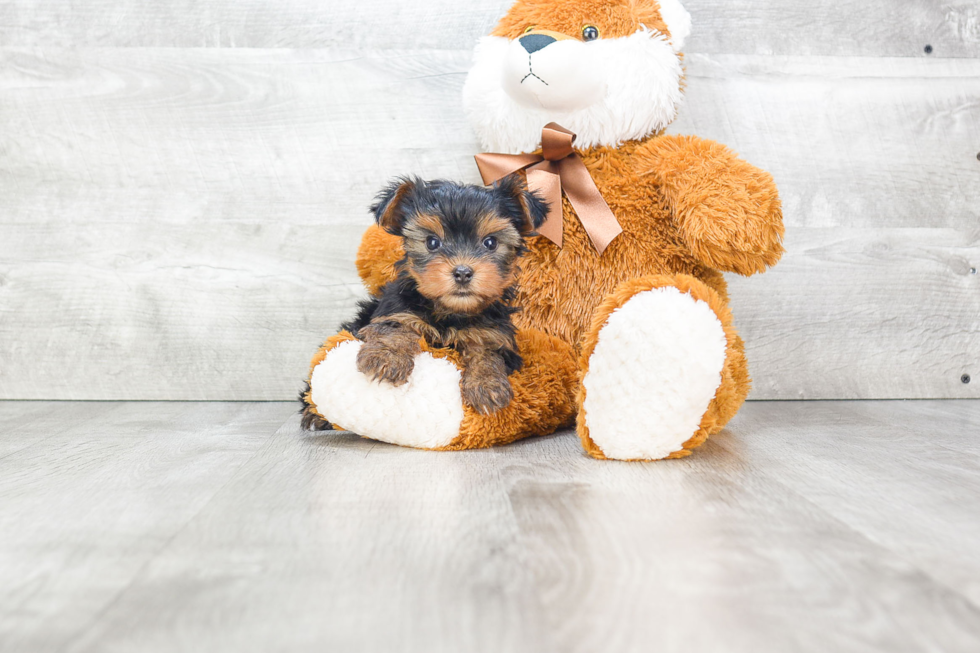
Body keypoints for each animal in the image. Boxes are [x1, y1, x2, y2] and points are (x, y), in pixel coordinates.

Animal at [300, 173, 544, 430]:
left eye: (490, 243)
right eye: (432, 242)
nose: (463, 272)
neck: (450, 313)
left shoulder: (495, 334)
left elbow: (488, 353)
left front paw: (487, 385)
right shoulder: (396, 311)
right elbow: (395, 329)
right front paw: (386, 358)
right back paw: (315, 415)